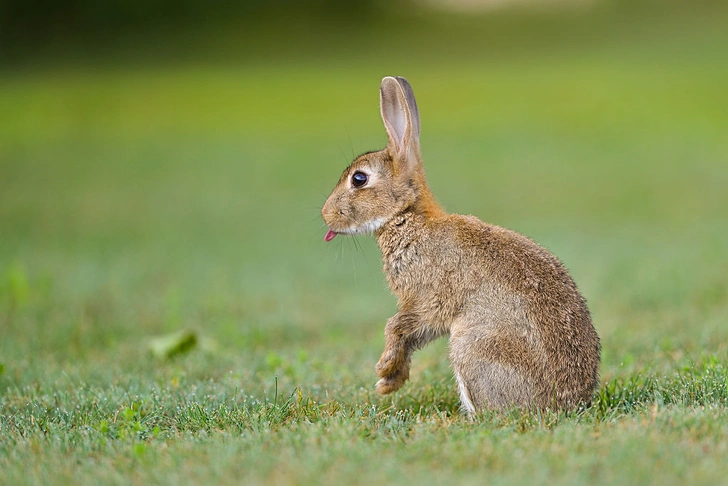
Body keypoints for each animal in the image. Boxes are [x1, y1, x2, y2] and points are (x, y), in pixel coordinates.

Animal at [322, 76, 600, 414]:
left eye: (359, 179)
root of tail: (567, 404)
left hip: (471, 347)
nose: (325, 214)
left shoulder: (428, 299)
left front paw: (384, 371)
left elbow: (397, 325)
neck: (409, 218)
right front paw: (391, 381)